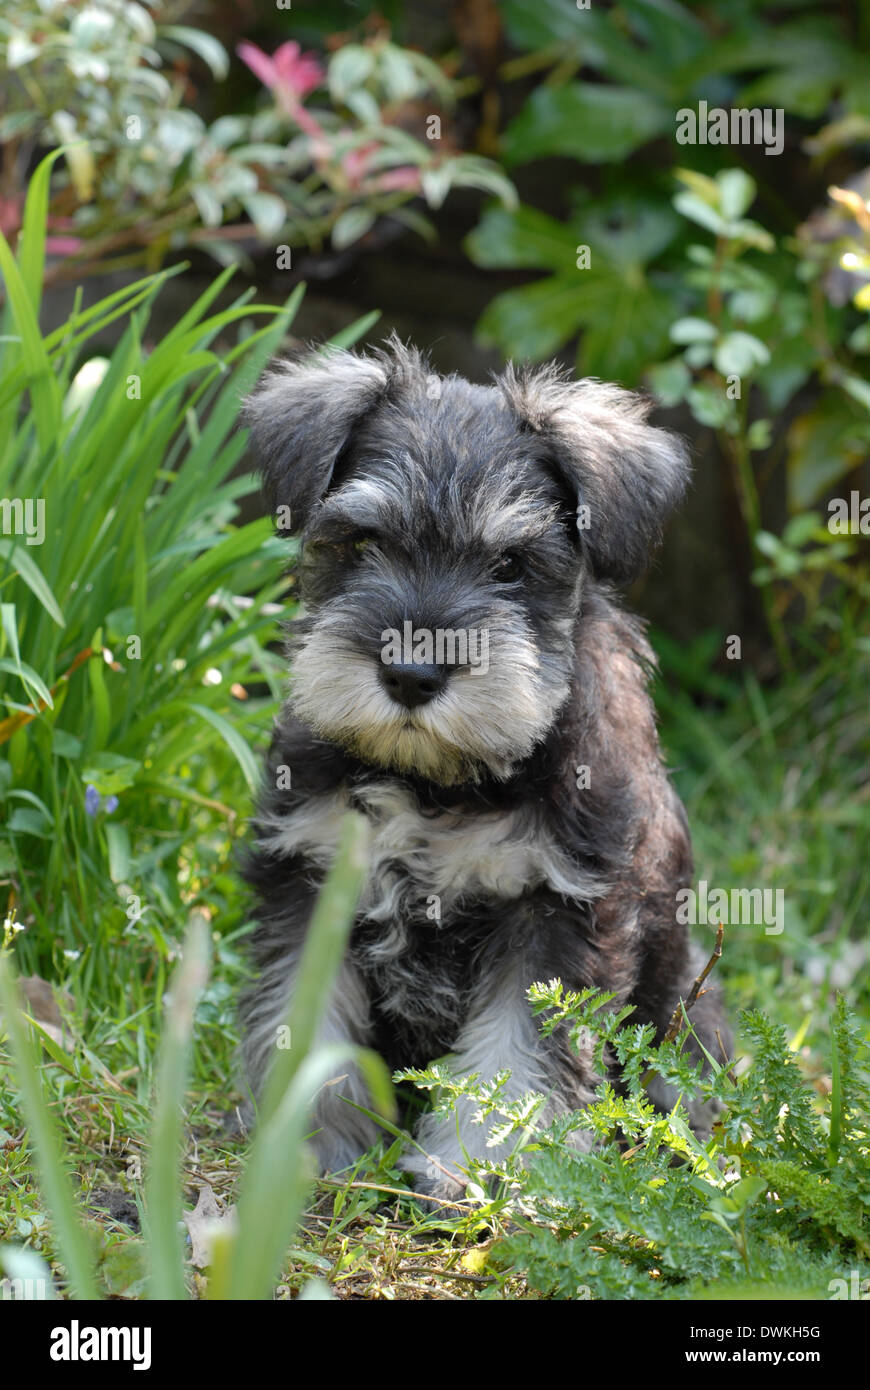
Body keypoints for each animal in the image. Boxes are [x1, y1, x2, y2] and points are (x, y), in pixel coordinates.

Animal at [234, 336, 722, 1195]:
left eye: (512, 565)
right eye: (364, 542)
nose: (411, 675)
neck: (434, 780)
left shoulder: (556, 911)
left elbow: (515, 1053)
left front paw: (486, 1165)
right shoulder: (311, 875)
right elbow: (303, 1018)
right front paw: (303, 1145)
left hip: (689, 1015)